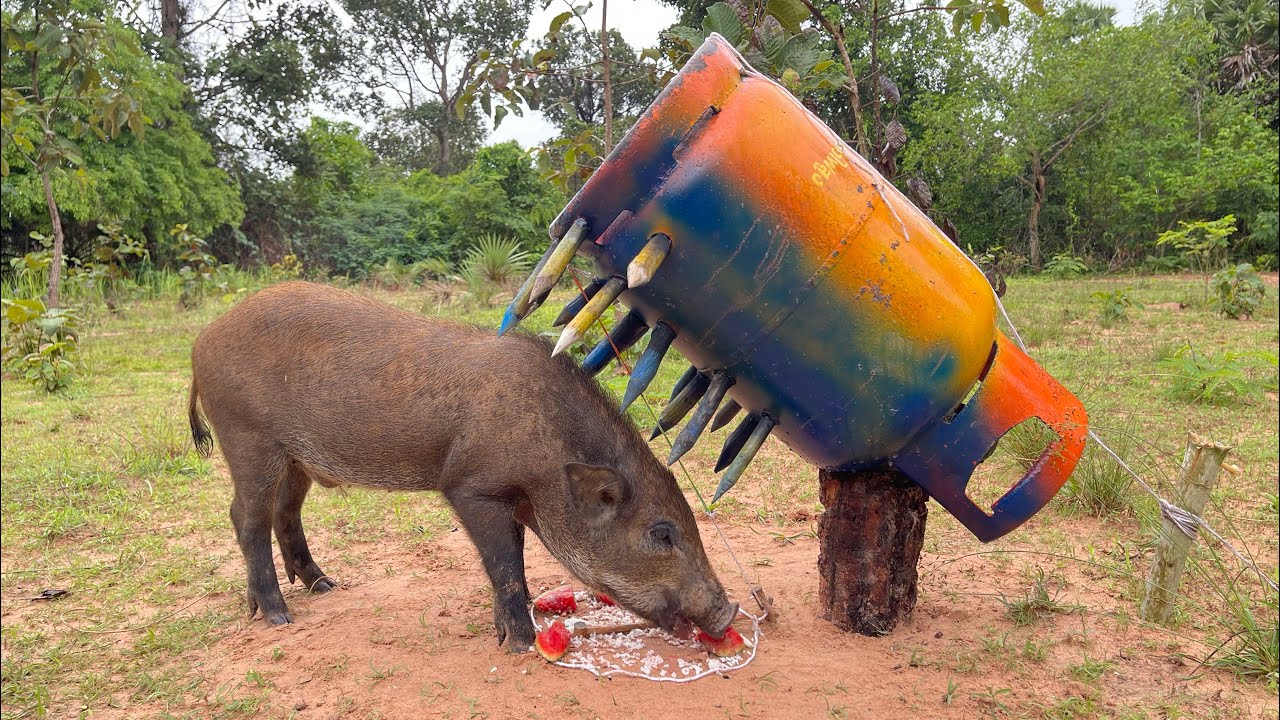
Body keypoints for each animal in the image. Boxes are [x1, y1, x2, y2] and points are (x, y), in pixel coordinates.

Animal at [188, 281, 737, 651]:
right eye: (662, 533)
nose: (730, 609)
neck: (549, 458)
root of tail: (202, 341)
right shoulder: (472, 487)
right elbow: (505, 566)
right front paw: (522, 645)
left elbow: (510, 564)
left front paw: (510, 630)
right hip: (248, 439)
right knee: (246, 517)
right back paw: (279, 617)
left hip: (294, 458)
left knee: (285, 514)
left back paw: (324, 586)